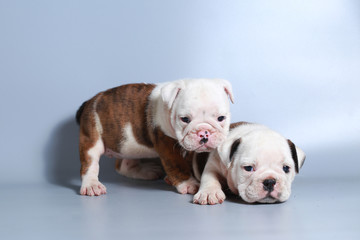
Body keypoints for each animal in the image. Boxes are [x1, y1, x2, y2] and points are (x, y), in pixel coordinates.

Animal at [76, 79, 233, 196]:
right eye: (185, 119)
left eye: (221, 118)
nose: (204, 132)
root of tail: (90, 101)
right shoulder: (166, 143)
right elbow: (178, 165)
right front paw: (189, 183)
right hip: (91, 136)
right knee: (90, 163)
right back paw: (91, 185)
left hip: (127, 144)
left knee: (123, 165)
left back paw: (144, 171)